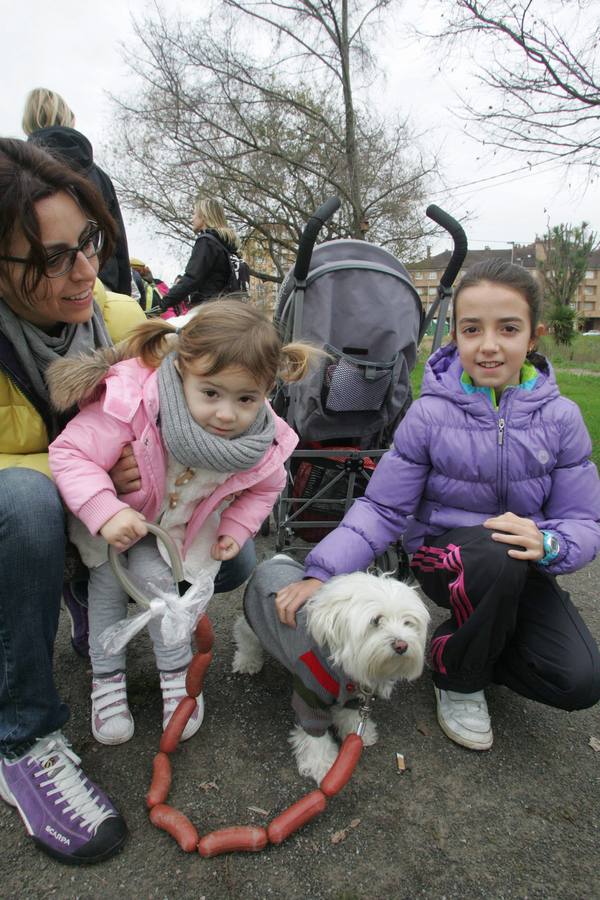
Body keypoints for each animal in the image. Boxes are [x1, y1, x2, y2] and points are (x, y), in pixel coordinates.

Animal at [232, 560, 428, 784]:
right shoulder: (310, 694)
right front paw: (322, 764)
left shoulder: (354, 693)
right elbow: (314, 733)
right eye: (376, 620)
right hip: (255, 625)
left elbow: (352, 714)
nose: (402, 645)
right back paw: (247, 660)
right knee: (243, 631)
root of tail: (274, 560)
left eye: (408, 622)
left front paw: (359, 732)